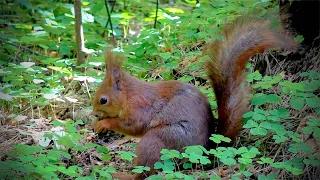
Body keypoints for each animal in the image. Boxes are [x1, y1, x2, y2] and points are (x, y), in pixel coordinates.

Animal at [90, 17, 298, 179]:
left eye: (103, 100)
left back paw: (123, 175)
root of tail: (205, 154)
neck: (129, 94)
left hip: (160, 140)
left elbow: (133, 125)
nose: (94, 113)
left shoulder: (141, 106)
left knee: (146, 171)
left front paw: (105, 123)